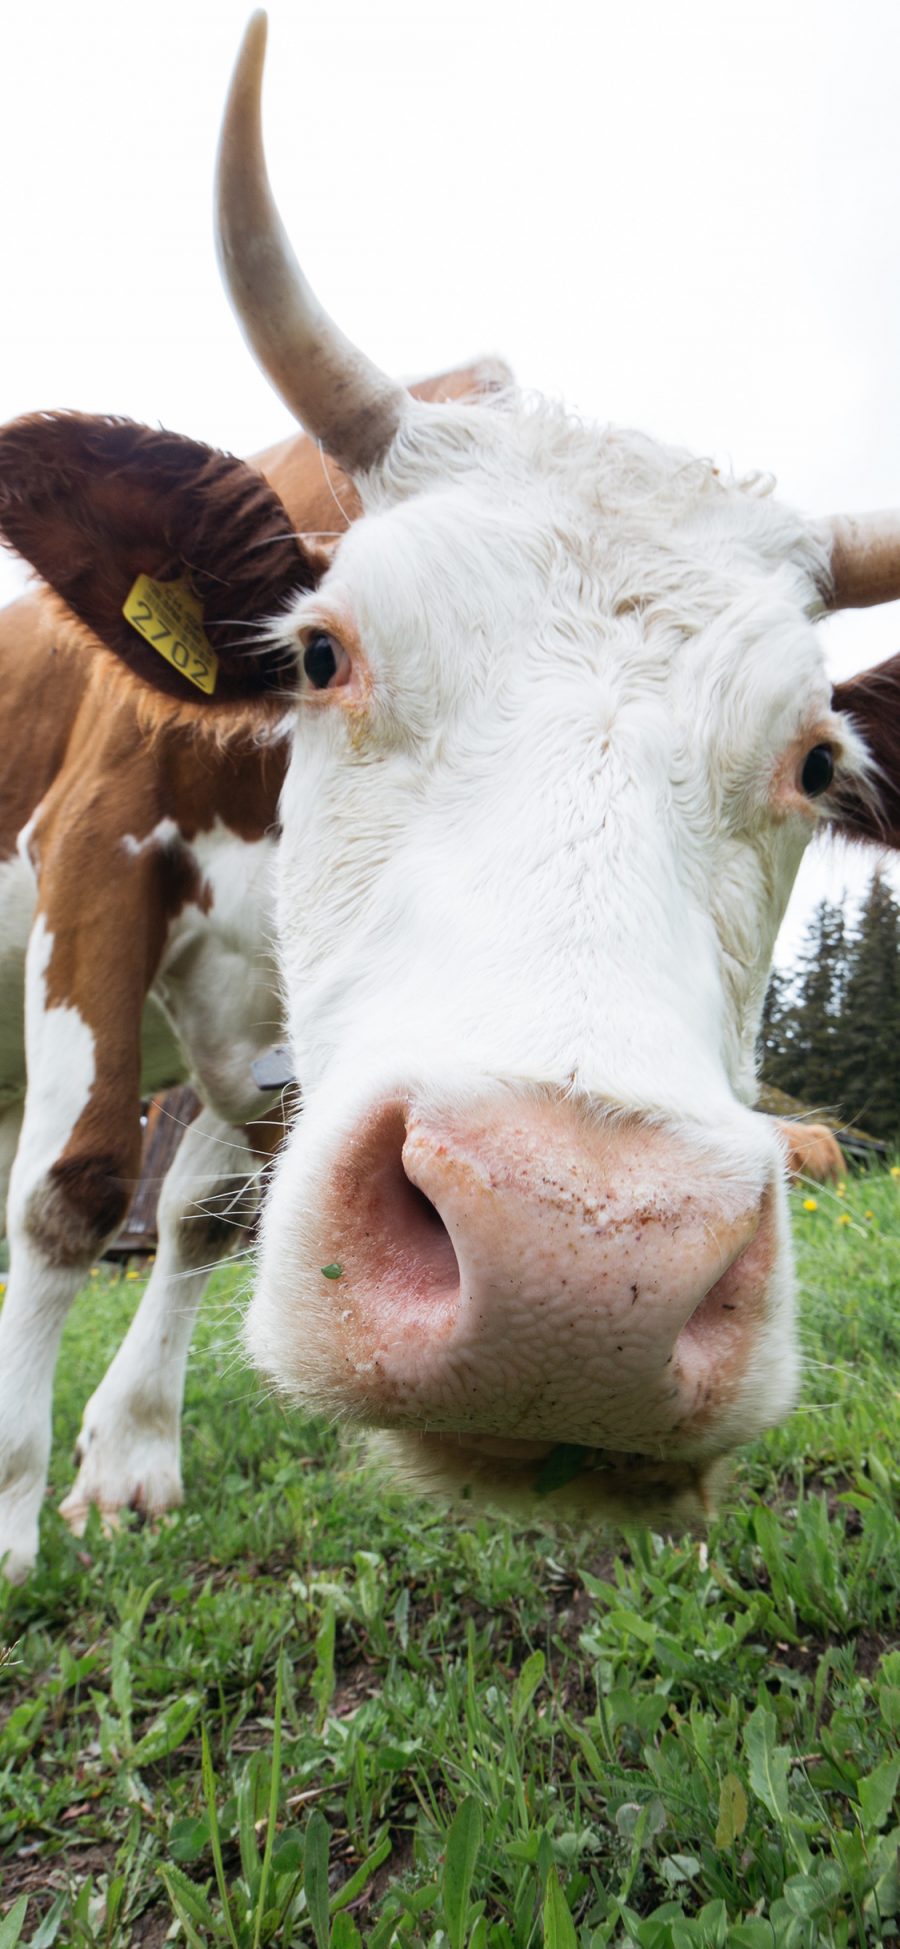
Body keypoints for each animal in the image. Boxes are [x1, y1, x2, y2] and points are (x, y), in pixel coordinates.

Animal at [1, 7, 900, 1574]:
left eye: (818, 761)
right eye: (320, 652)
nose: (578, 1274)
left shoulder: (277, 1018)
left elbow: (202, 1213)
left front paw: (128, 1462)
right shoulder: (94, 853)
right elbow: (79, 1187)